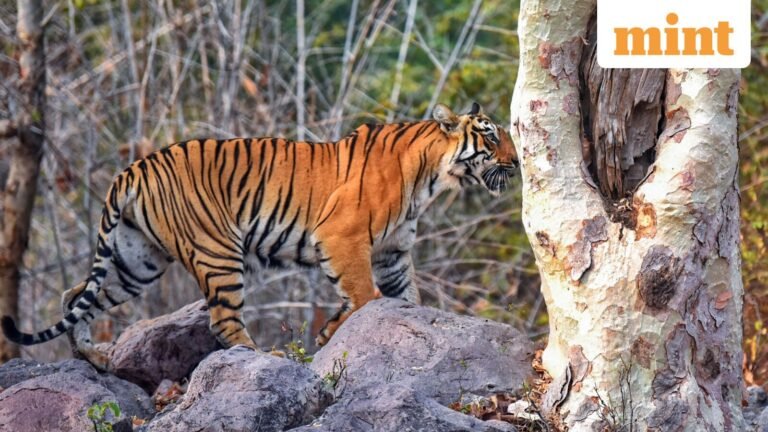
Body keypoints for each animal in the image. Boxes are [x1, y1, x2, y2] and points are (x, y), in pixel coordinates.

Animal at [2, 102, 518, 370]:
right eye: (492, 137)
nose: (516, 163)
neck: (430, 176)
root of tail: (134, 168)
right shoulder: (343, 237)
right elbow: (364, 296)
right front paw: (334, 334)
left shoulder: (392, 254)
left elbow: (401, 299)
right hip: (217, 252)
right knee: (222, 321)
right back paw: (261, 357)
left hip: (137, 260)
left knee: (75, 296)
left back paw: (94, 356)